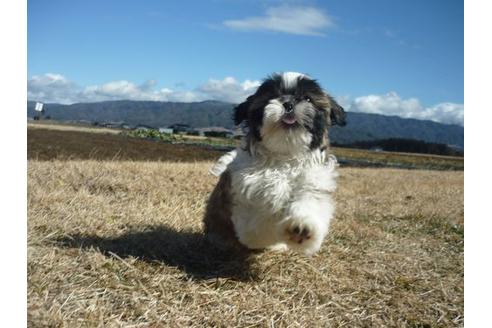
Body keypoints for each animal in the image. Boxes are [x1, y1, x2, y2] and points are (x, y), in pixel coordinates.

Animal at [204, 72, 346, 256]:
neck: (284, 157)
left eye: (307, 99)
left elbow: (309, 204)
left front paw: (301, 226)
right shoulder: (248, 207)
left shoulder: (312, 184)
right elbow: (267, 217)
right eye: (271, 97)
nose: (289, 104)